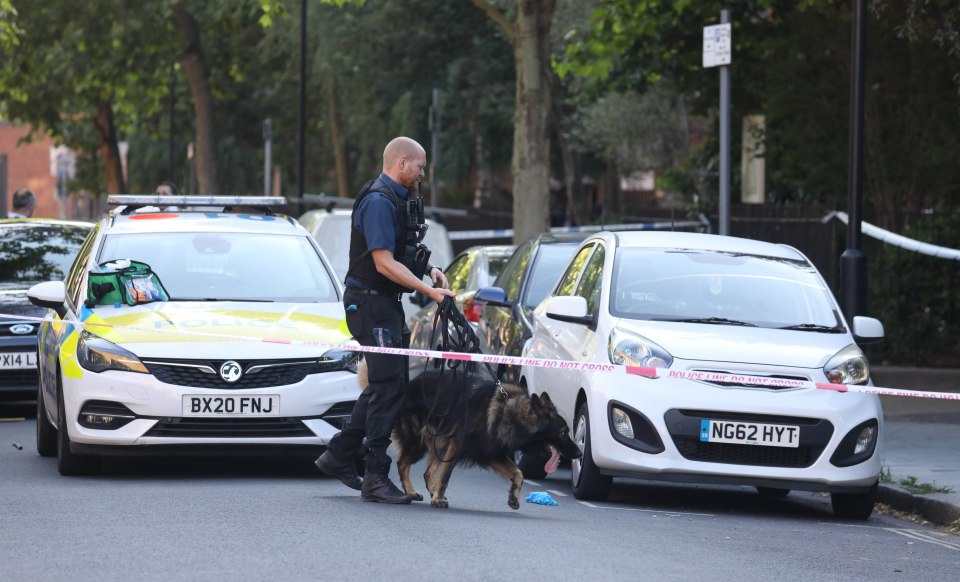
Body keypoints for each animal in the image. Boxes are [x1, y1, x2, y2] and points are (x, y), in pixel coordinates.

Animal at [384, 370, 580, 512]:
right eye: (563, 433)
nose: (579, 453)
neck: (507, 414)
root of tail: (410, 383)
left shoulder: (490, 453)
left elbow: (518, 472)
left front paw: (514, 496)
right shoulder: (457, 446)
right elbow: (445, 476)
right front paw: (438, 499)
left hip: (439, 445)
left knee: (427, 473)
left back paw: (428, 490)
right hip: (419, 444)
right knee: (402, 463)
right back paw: (411, 492)